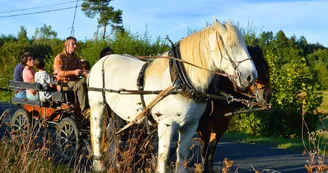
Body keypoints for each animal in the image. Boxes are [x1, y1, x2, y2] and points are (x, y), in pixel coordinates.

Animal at [88, 17, 258, 173]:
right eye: (232, 45)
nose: (251, 76)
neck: (180, 80)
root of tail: (103, 59)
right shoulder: (166, 124)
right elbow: (163, 158)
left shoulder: (190, 125)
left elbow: (181, 156)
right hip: (98, 105)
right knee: (98, 134)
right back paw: (99, 166)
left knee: (114, 134)